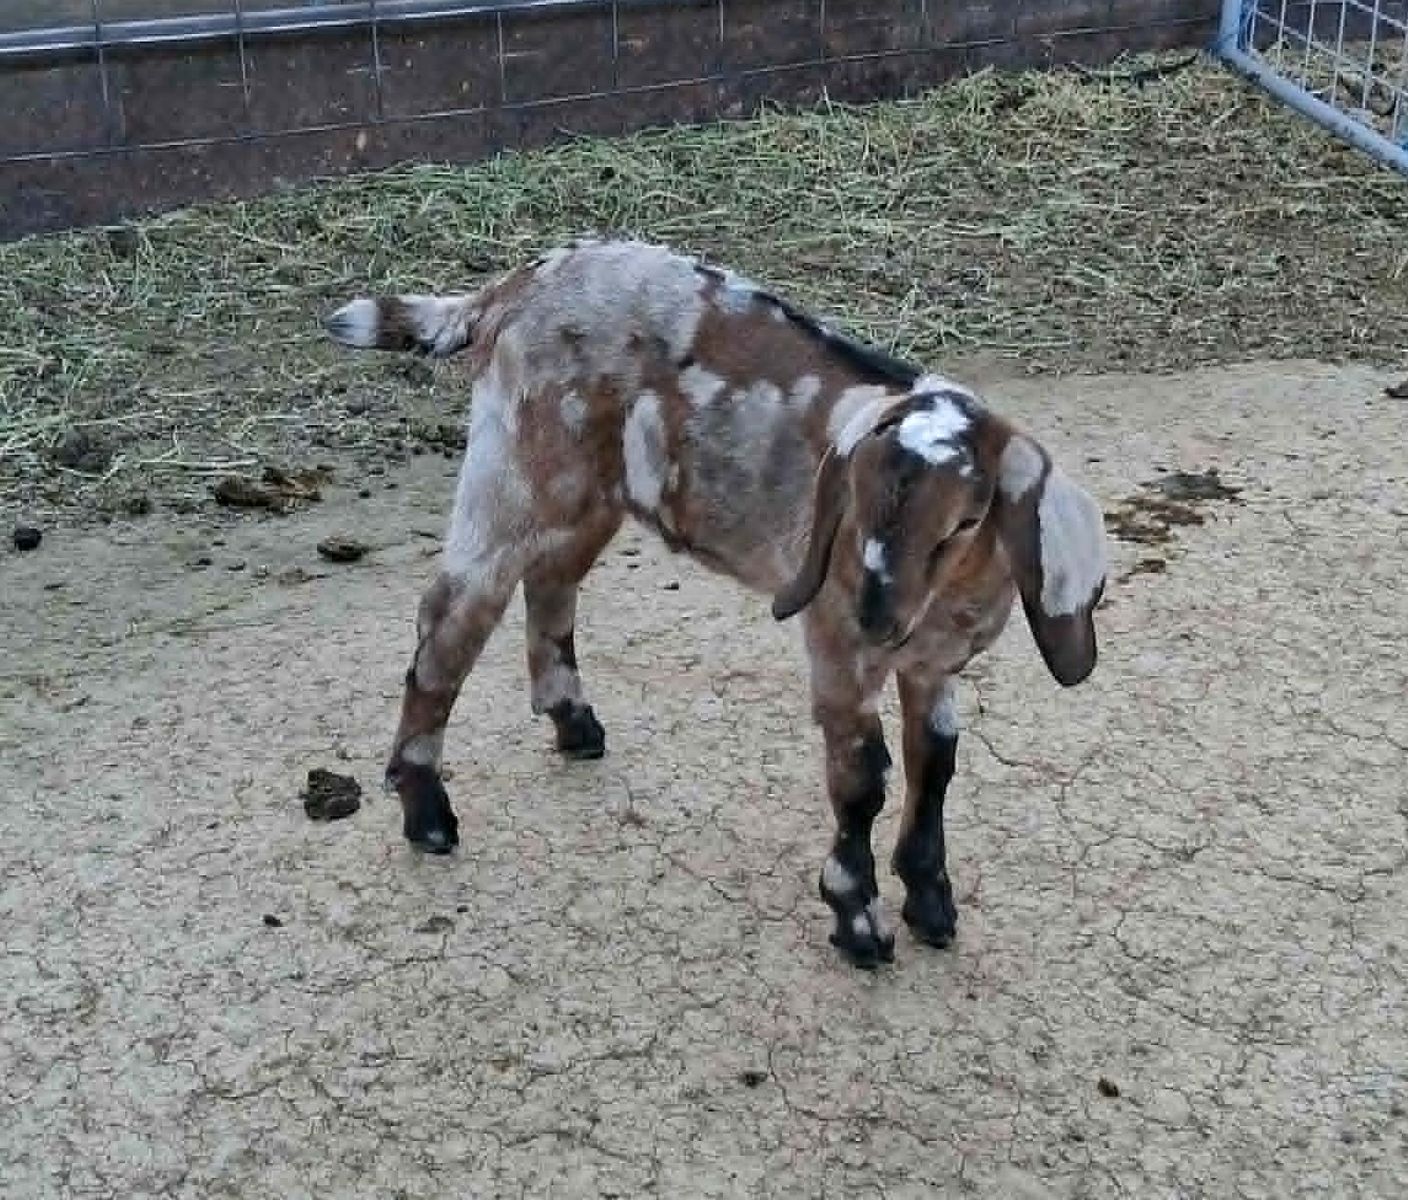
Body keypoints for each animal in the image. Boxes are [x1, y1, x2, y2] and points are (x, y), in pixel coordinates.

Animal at [325, 238, 1109, 969]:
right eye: (855, 499)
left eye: (966, 521)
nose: (876, 618)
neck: (939, 606)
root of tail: (513, 288)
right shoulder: (836, 644)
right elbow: (864, 778)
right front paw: (858, 921)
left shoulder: (933, 663)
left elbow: (935, 764)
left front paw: (932, 904)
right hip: (519, 468)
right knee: (452, 616)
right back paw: (426, 812)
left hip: (597, 493)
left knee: (551, 581)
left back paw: (573, 723)